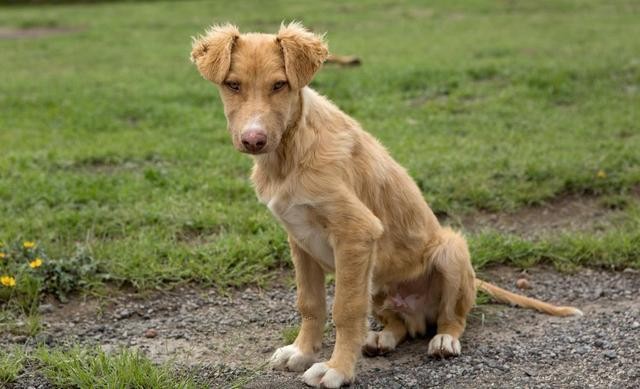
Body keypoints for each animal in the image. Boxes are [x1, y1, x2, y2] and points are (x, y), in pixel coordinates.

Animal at [189, 22, 580, 386]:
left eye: (279, 85)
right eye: (233, 85)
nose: (253, 139)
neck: (290, 151)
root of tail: (421, 314)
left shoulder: (356, 233)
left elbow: (345, 310)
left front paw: (336, 369)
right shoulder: (299, 239)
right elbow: (310, 303)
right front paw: (302, 352)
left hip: (450, 251)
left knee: (453, 317)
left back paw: (444, 341)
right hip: (376, 280)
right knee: (400, 325)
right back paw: (383, 337)